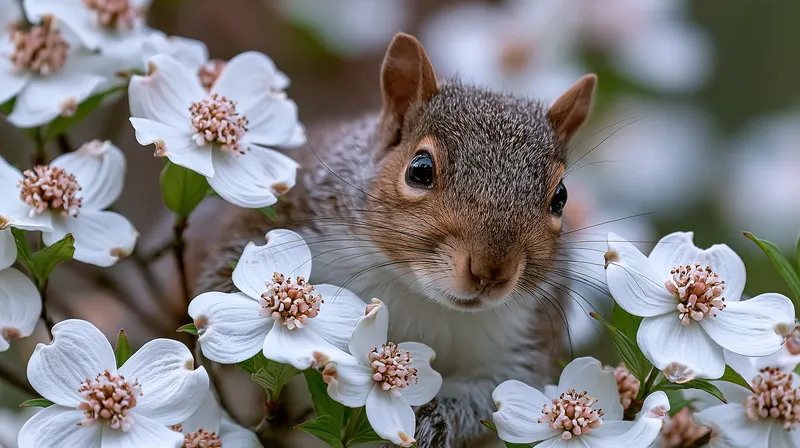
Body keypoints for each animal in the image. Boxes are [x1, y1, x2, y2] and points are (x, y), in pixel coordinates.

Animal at [197, 33, 597, 448]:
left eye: (560, 197)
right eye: (420, 169)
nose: (491, 271)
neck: (420, 298)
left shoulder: (520, 345)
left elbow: (491, 400)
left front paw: (433, 420)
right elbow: (223, 287)